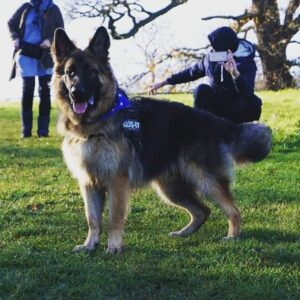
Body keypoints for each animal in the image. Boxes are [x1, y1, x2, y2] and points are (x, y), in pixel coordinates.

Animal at [51, 26, 272, 253]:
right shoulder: (89, 183)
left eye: (90, 71)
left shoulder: (116, 182)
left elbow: (114, 218)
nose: (77, 94)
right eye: (70, 73)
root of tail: (218, 122)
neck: (96, 125)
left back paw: (232, 236)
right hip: (170, 189)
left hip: (207, 181)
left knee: (233, 210)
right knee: (203, 210)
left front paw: (114, 246)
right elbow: (92, 219)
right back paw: (184, 233)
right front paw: (90, 245)